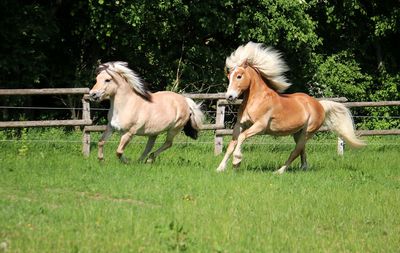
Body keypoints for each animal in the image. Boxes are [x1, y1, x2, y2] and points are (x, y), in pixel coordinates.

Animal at [217, 42, 364, 174]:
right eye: (229, 77)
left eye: (239, 76)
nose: (229, 96)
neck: (257, 100)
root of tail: (319, 105)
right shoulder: (240, 124)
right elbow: (232, 144)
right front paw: (220, 168)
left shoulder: (260, 126)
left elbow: (241, 137)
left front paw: (236, 161)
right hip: (297, 133)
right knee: (302, 150)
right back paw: (303, 168)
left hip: (307, 132)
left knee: (295, 151)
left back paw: (279, 171)